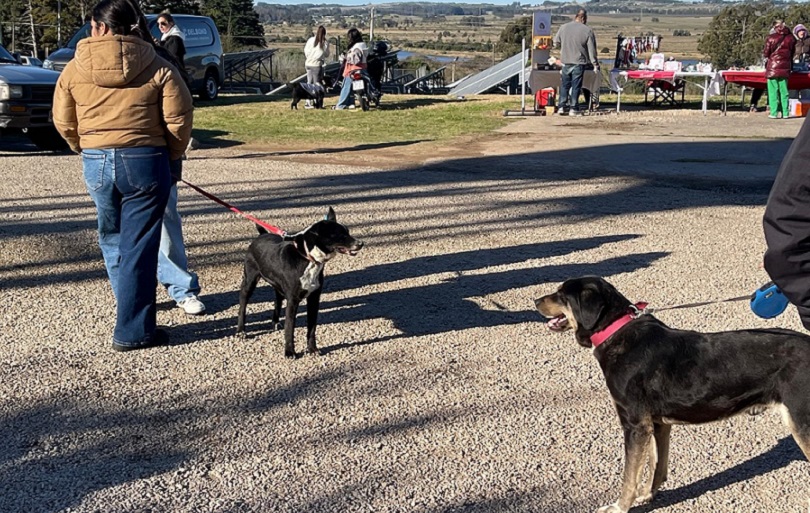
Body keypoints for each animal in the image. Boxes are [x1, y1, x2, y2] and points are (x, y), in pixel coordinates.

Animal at [234, 206, 360, 358]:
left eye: (347, 231)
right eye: (340, 235)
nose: (361, 244)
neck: (308, 258)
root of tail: (261, 235)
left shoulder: (314, 299)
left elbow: (311, 328)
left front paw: (312, 349)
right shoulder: (293, 301)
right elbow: (290, 328)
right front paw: (289, 352)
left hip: (278, 286)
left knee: (277, 299)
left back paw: (275, 322)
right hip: (249, 281)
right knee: (242, 305)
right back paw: (241, 331)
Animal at [532, 276, 808, 512]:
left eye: (561, 294)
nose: (535, 301)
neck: (615, 331)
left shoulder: (635, 425)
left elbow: (629, 476)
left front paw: (620, 507)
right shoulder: (656, 424)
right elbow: (656, 464)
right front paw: (648, 494)